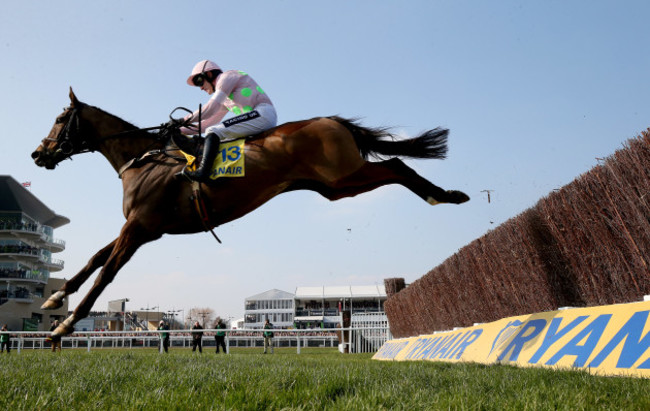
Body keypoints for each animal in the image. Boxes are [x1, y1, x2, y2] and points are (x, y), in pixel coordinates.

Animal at [33, 89, 468, 338]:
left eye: (59, 119)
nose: (38, 153)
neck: (145, 160)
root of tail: (332, 121)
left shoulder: (140, 226)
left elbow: (107, 271)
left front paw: (65, 326)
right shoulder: (141, 226)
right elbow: (95, 258)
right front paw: (55, 297)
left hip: (343, 175)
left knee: (396, 164)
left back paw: (444, 195)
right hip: (336, 187)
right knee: (393, 166)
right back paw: (445, 194)